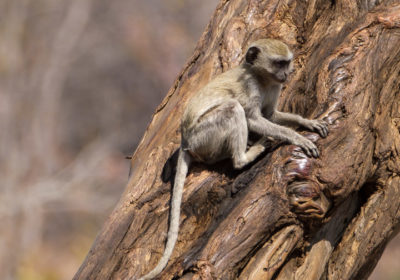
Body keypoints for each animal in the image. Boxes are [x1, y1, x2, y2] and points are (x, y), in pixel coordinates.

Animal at [138, 38, 328, 278]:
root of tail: (185, 141)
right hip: (203, 136)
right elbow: (254, 118)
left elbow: (271, 115)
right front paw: (297, 137)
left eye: (287, 62)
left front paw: (306, 122)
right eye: (279, 63)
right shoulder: (249, 87)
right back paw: (245, 156)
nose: (287, 73)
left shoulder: (274, 87)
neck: (260, 77)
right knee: (232, 109)